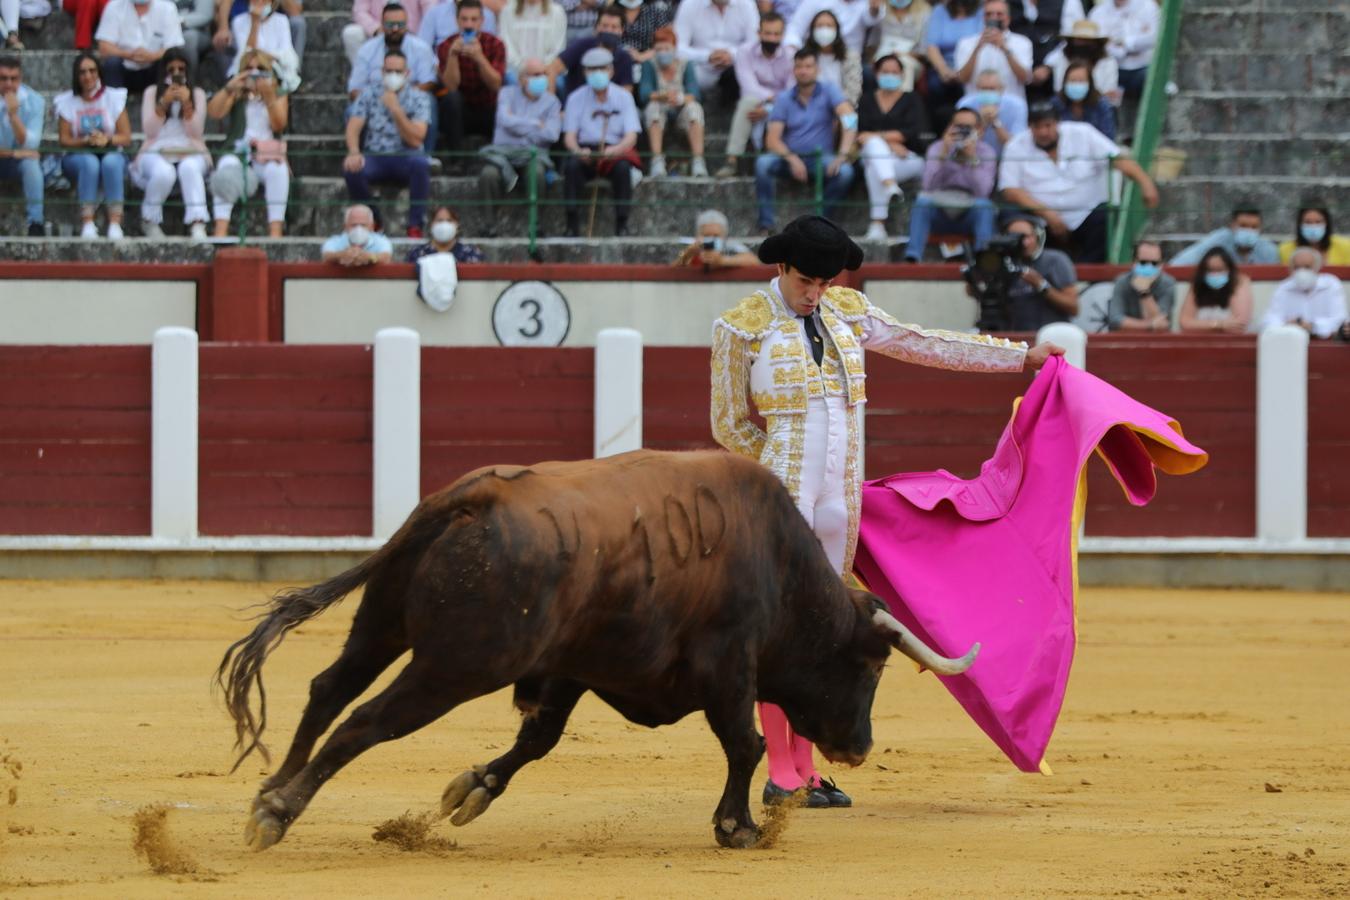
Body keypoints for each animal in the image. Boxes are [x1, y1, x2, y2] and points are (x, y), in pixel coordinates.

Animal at [216, 450, 977, 852]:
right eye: (872, 666)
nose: (860, 747)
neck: (780, 565)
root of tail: (468, 501)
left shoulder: (572, 668)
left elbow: (538, 740)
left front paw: (474, 788)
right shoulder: (729, 663)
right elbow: (747, 742)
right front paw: (738, 827)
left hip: (383, 626)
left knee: (328, 689)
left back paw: (271, 787)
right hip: (457, 664)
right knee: (366, 721)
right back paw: (279, 812)